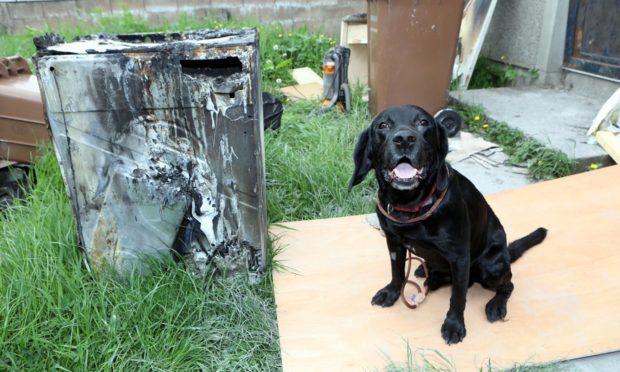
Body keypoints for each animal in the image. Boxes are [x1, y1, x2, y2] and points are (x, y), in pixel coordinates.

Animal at [348, 104, 548, 342]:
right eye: (383, 125)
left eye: (423, 123)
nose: (404, 139)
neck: (412, 205)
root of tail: (506, 253)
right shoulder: (394, 243)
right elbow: (397, 272)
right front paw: (391, 292)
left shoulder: (459, 257)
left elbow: (458, 297)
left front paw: (454, 324)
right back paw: (428, 274)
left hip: (490, 266)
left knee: (507, 284)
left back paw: (496, 304)